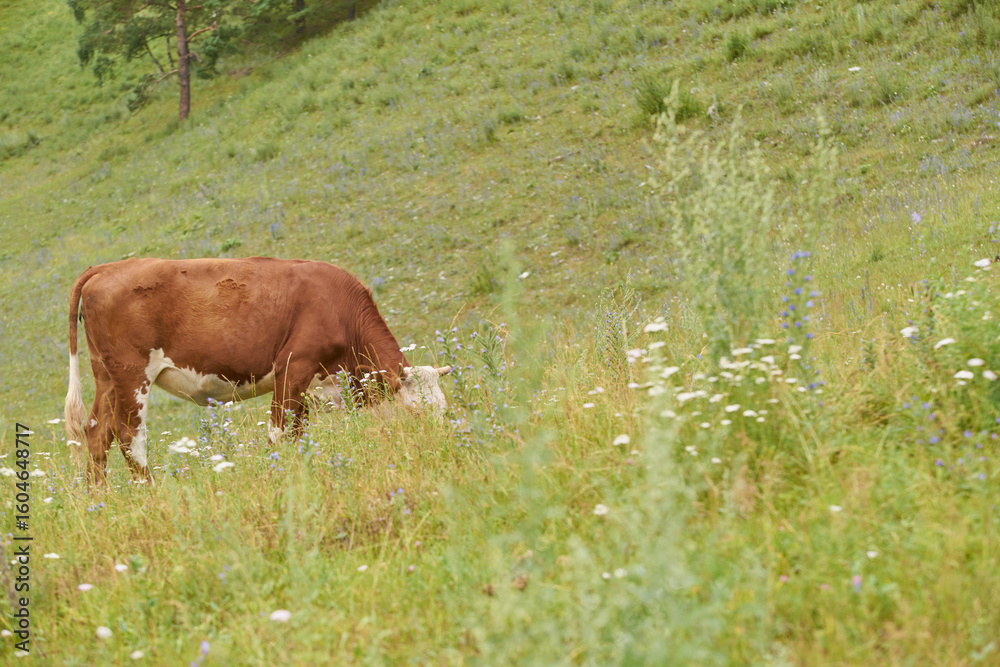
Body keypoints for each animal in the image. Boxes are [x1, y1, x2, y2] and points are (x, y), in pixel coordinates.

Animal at [63, 257, 452, 484]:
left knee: (96, 431)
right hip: (133, 374)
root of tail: (107, 268)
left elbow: (298, 433)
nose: (438, 447)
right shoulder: (292, 367)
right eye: (418, 413)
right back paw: (149, 491)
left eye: (443, 410)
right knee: (129, 434)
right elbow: (278, 432)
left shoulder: (308, 386)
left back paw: (99, 499)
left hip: (106, 375)